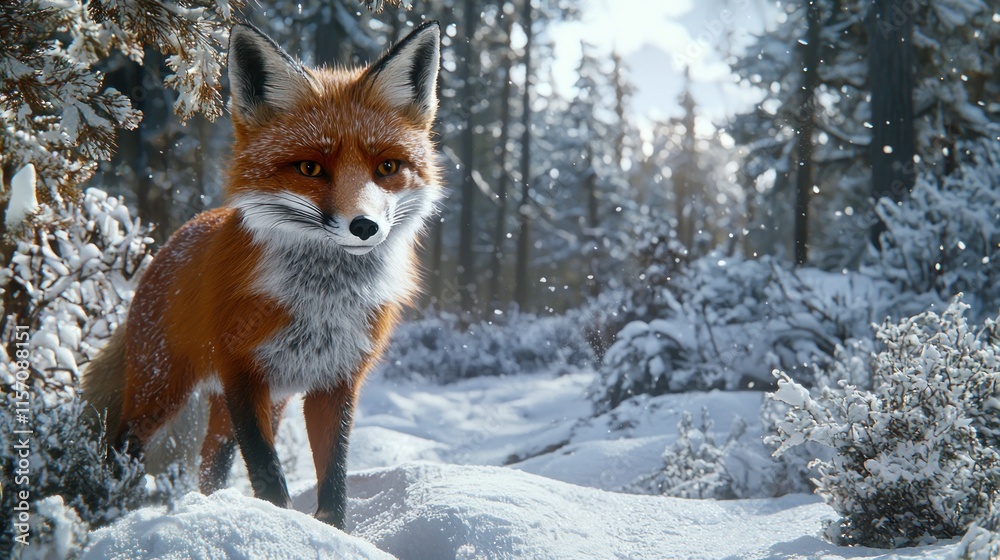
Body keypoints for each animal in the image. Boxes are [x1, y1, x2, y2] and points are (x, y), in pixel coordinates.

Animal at [82, 21, 442, 529]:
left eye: (387, 167)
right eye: (310, 168)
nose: (365, 226)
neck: (322, 301)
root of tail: (174, 239)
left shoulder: (336, 381)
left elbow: (334, 477)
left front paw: (332, 531)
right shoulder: (242, 373)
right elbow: (268, 473)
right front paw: (280, 527)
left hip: (254, 404)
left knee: (210, 467)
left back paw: (210, 507)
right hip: (162, 390)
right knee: (123, 447)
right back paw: (106, 517)